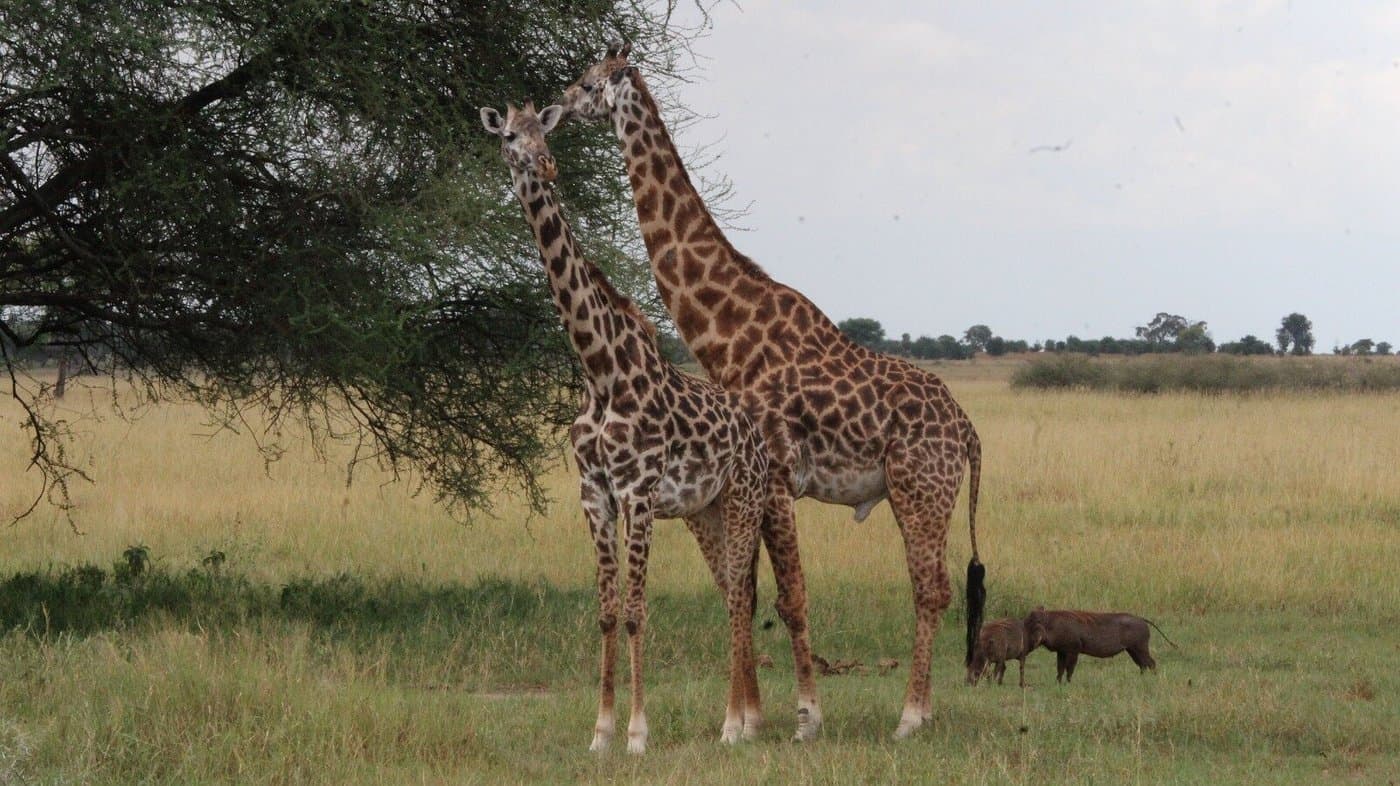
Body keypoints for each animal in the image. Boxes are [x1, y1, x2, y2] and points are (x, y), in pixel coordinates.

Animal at [481, 101, 772, 753]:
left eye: (546, 132)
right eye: (509, 135)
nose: (546, 165)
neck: (601, 369)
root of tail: (756, 432)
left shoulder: (638, 492)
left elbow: (638, 610)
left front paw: (638, 734)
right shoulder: (594, 493)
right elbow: (609, 611)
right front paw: (601, 732)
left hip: (743, 499)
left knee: (741, 598)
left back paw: (735, 726)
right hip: (705, 510)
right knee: (734, 593)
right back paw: (742, 720)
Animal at [560, 44, 986, 740]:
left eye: (589, 83)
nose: (557, 106)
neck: (726, 331)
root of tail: (970, 431)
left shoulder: (779, 474)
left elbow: (789, 597)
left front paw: (805, 718)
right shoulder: (750, 482)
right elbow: (749, 590)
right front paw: (752, 715)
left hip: (920, 489)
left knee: (931, 589)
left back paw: (910, 718)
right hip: (926, 494)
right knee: (937, 588)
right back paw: (917, 712)